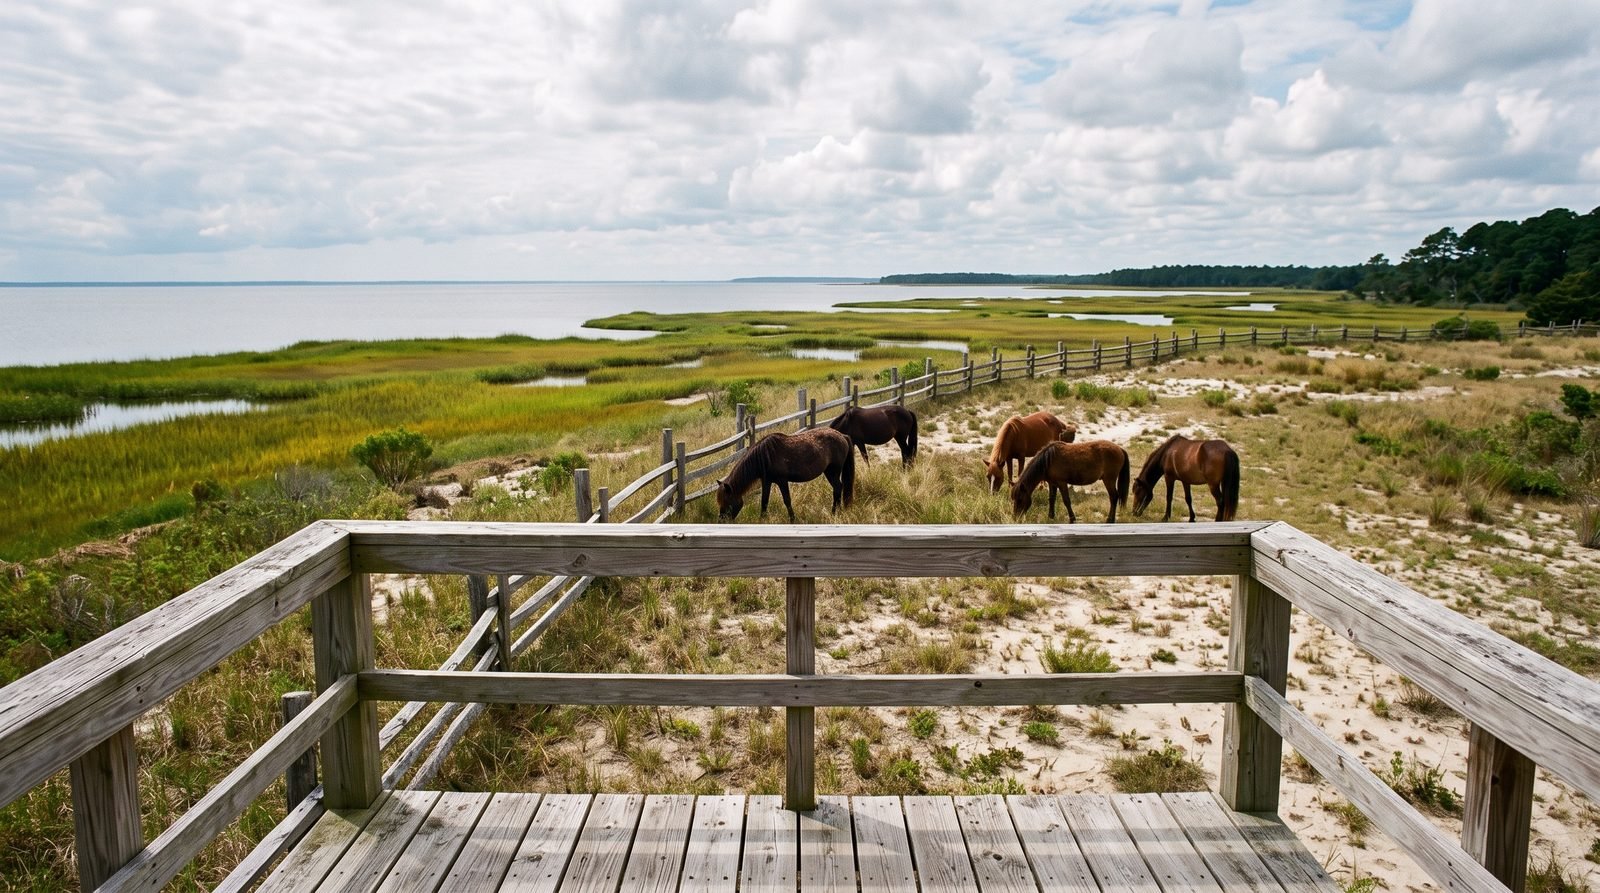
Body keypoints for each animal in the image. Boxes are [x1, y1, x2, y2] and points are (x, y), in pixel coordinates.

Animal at [716, 428, 855, 522]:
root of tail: (842, 435)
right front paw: (762, 520)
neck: (765, 456)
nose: (721, 521)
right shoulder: (766, 481)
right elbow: (764, 501)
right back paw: (837, 511)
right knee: (838, 488)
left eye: (727, 502)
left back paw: (834, 512)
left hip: (833, 472)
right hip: (829, 472)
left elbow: (787, 500)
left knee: (837, 488)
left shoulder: (782, 481)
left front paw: (792, 519)